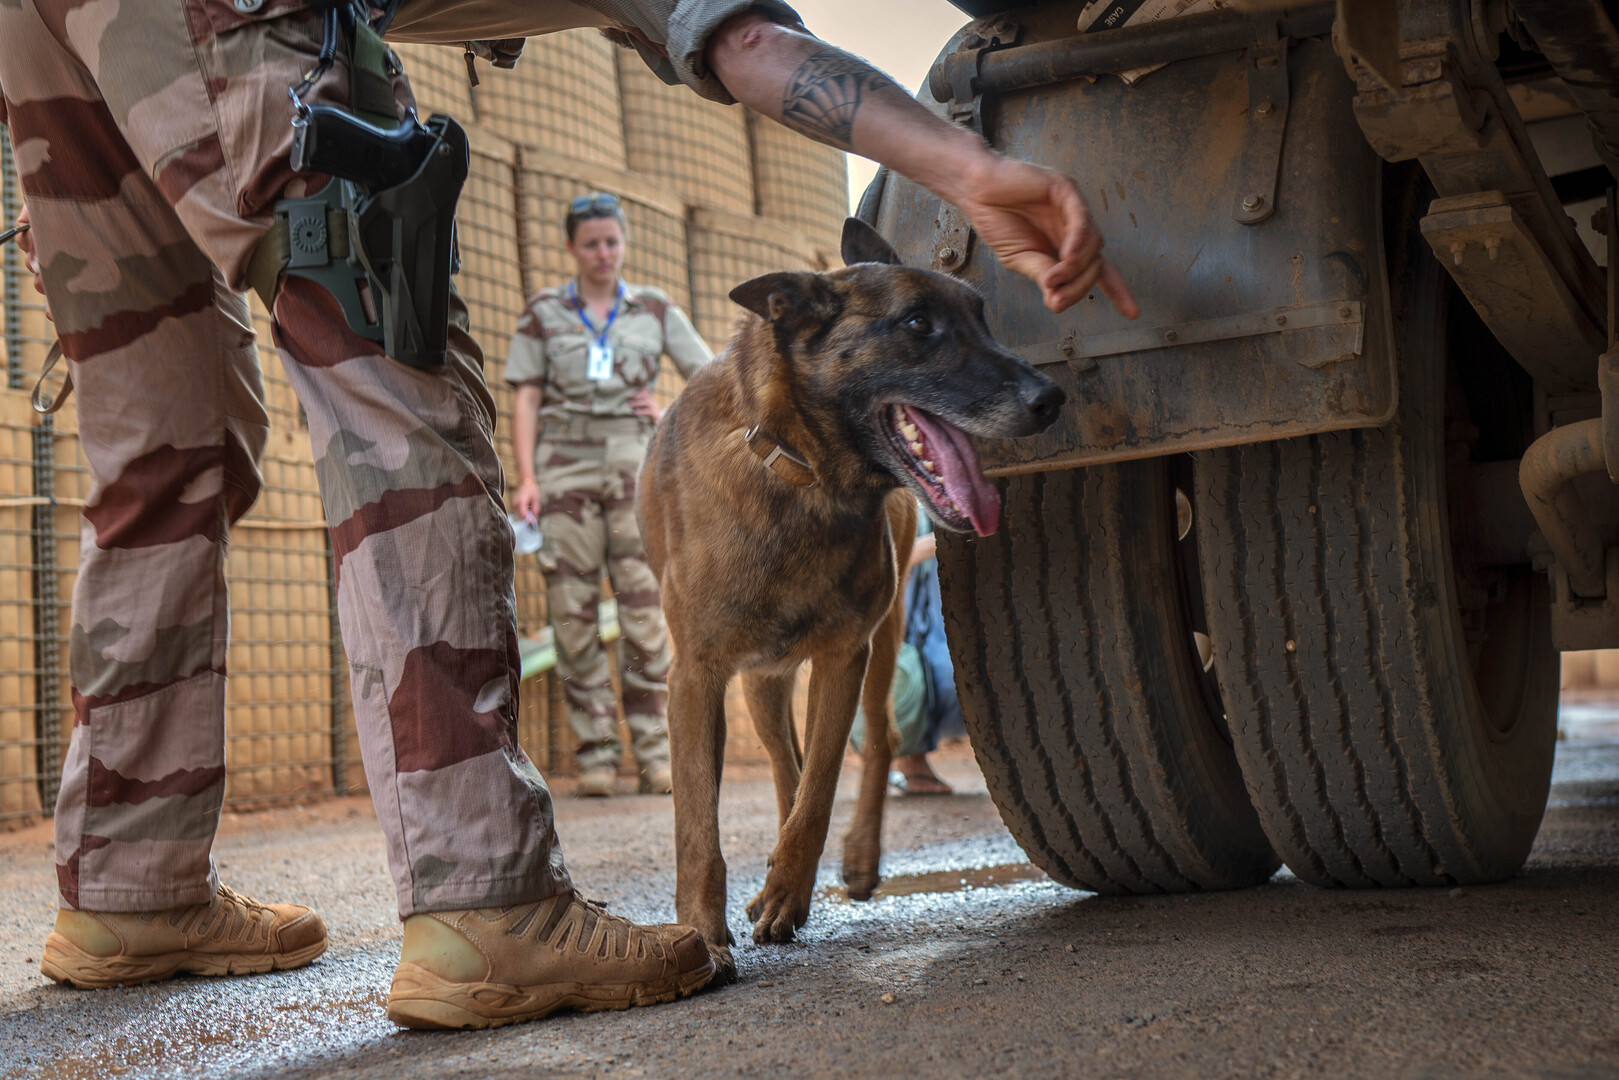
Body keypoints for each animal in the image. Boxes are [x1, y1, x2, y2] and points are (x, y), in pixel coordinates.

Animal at [637, 220, 1068, 977]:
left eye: (981, 318)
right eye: (918, 324)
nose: (1050, 397)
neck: (800, 476)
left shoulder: (844, 656)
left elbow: (820, 789)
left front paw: (790, 889)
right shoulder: (695, 678)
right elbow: (698, 821)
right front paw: (704, 929)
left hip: (880, 643)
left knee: (874, 743)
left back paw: (851, 863)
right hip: (762, 683)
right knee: (785, 760)